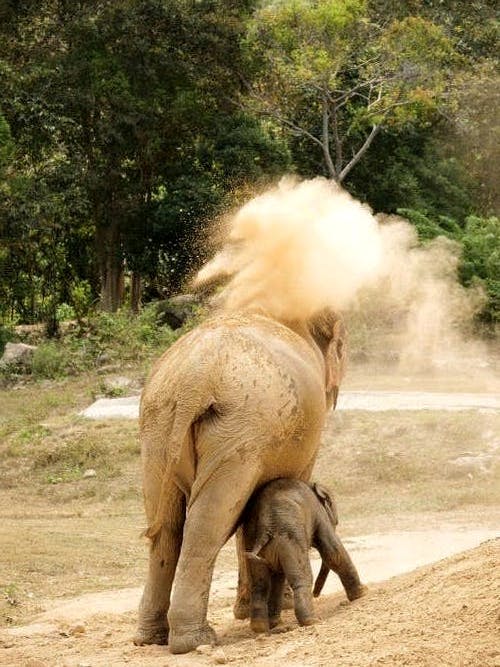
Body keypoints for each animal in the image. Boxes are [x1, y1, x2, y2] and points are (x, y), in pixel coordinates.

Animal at [134, 308, 347, 654]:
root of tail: (193, 382)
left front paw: (250, 612)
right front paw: (282, 607)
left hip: (157, 430)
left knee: (166, 529)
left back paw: (151, 638)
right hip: (238, 432)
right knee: (207, 525)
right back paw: (194, 641)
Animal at [241, 478, 366, 633]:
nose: (316, 594)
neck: (312, 484)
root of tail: (265, 528)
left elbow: (277, 577)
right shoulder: (319, 514)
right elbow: (333, 552)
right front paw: (362, 594)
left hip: (252, 541)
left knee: (261, 583)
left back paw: (260, 627)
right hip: (290, 539)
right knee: (302, 577)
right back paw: (311, 621)